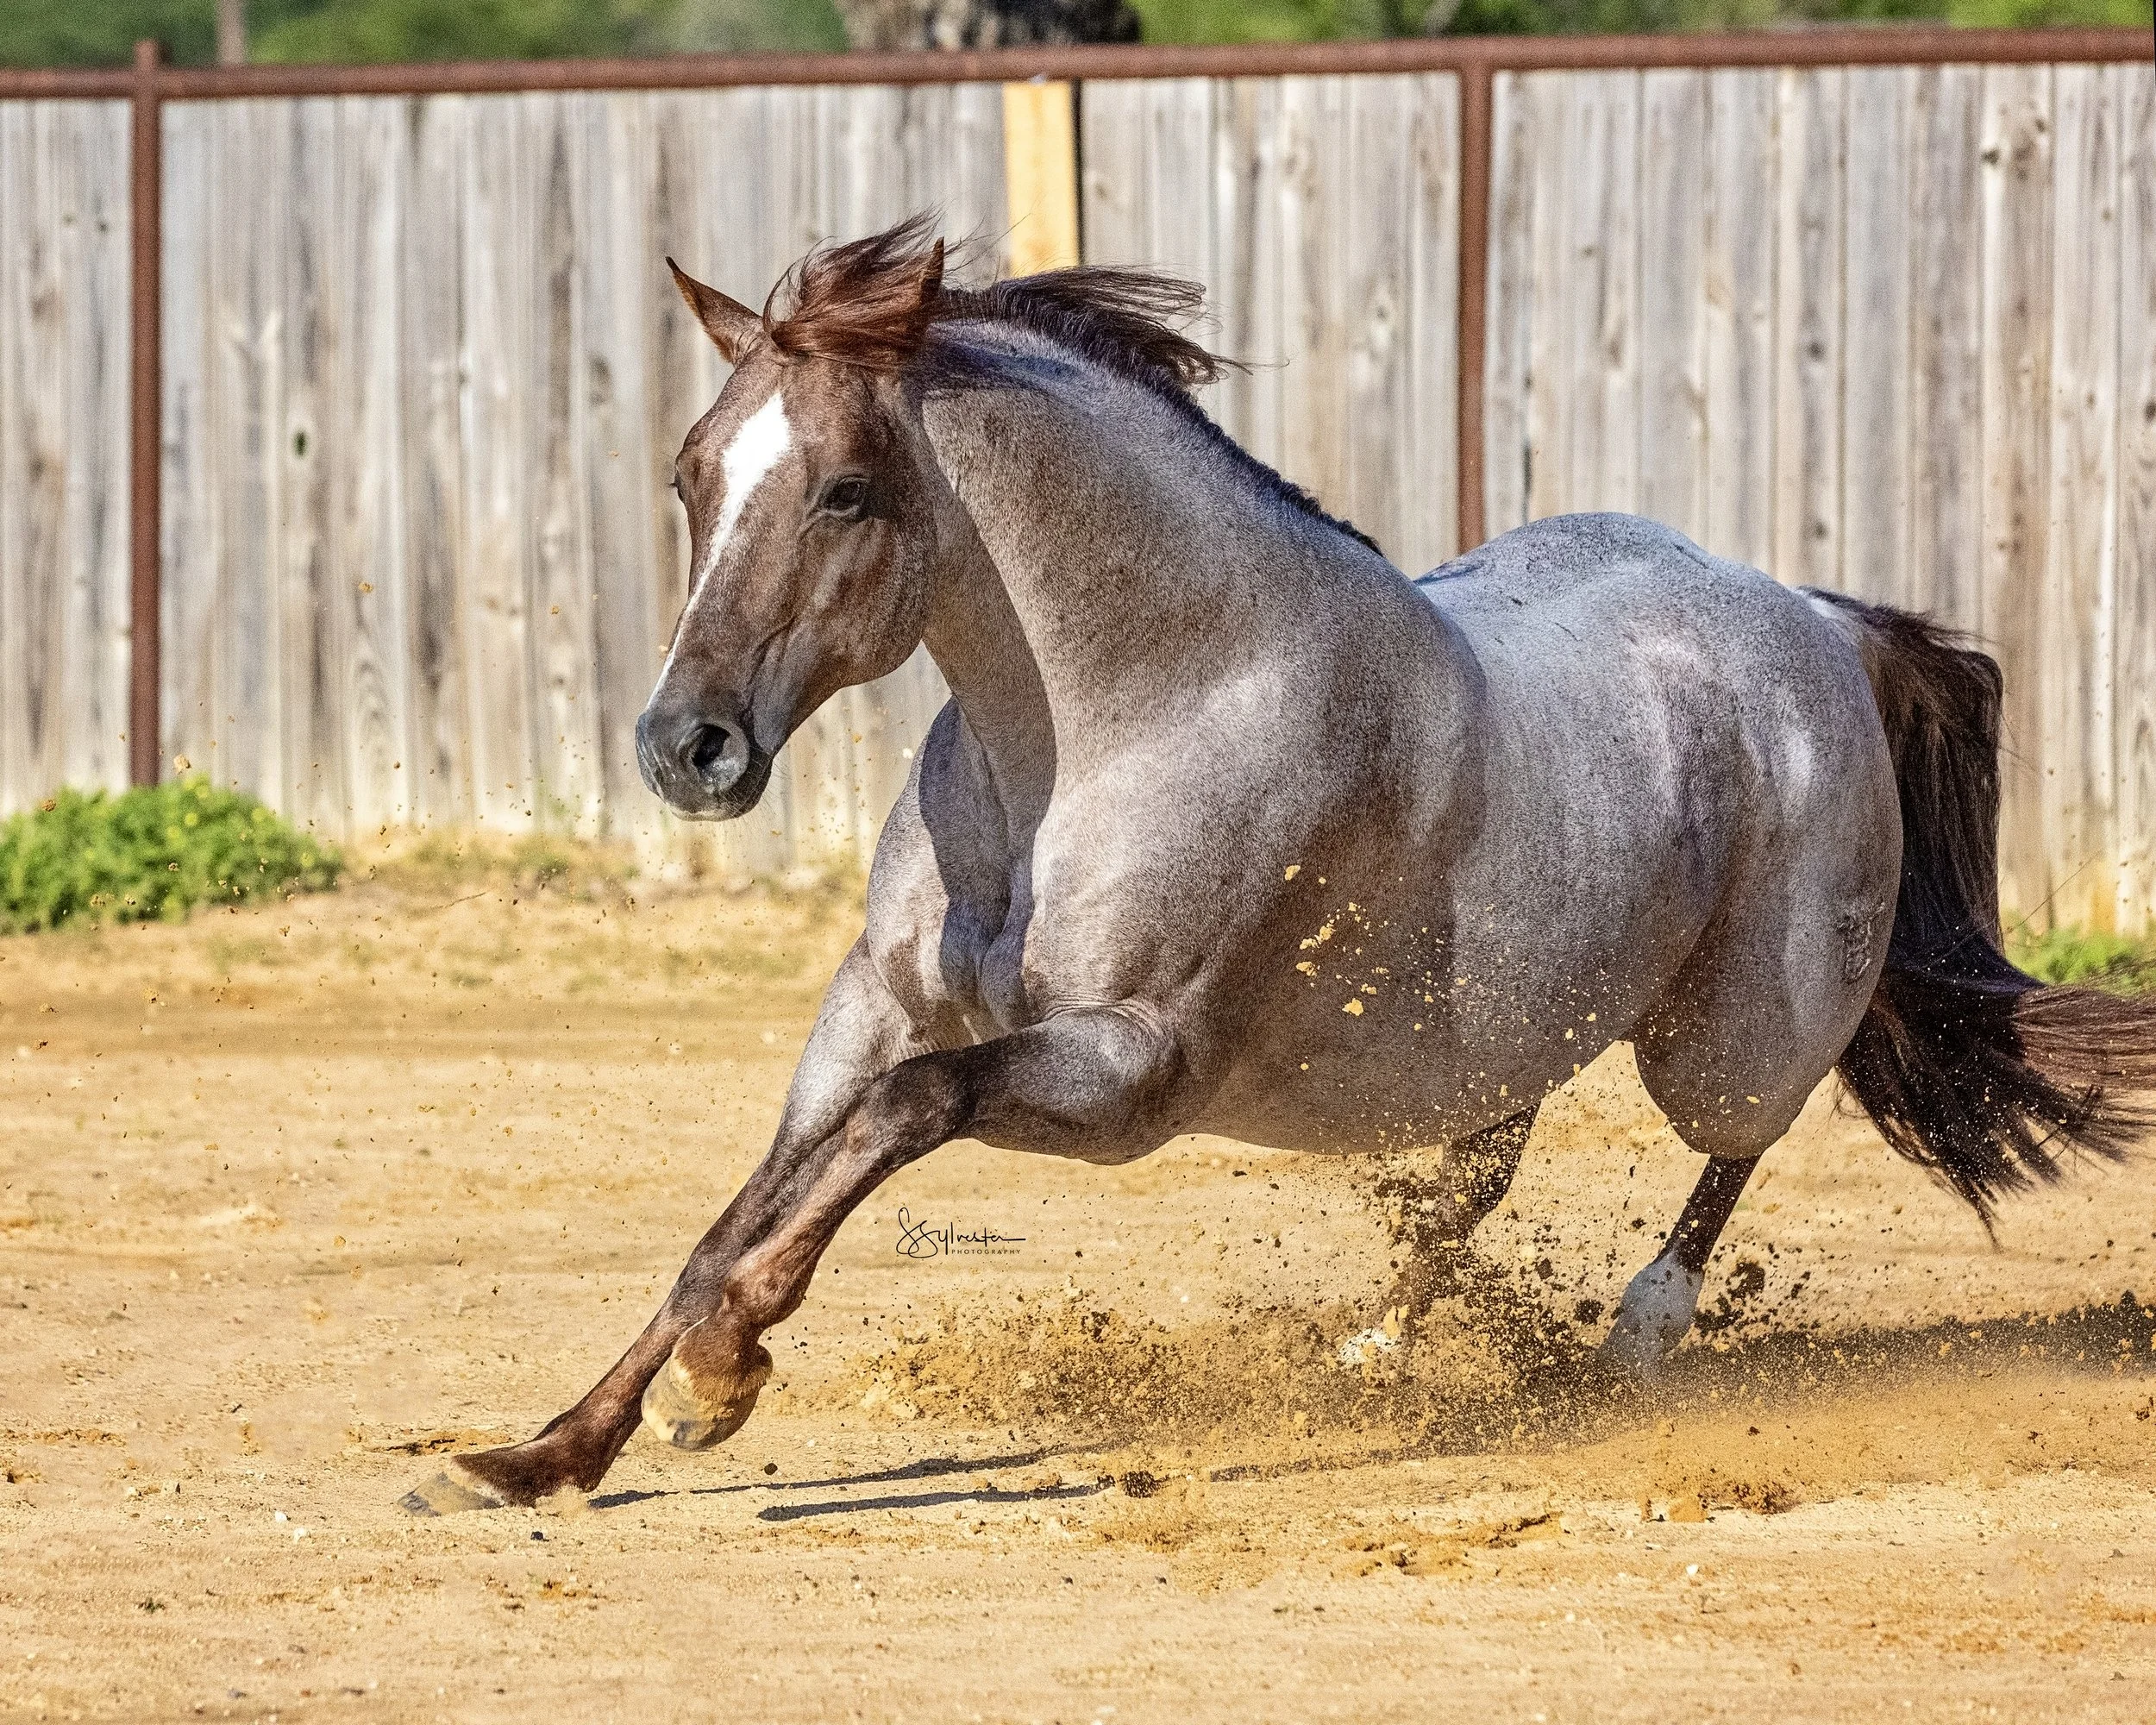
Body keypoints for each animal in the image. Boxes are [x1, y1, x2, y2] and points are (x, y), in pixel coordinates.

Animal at [416, 216, 2156, 1511]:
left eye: (846, 489)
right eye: (693, 473)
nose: (686, 747)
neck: (1125, 718)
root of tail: (1813, 621)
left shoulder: (1129, 1074)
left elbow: (898, 1127)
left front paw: (724, 1377)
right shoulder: (867, 1013)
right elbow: (749, 1203)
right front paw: (545, 1454)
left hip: (1726, 1033)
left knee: (1737, 1145)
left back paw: (1634, 1340)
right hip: (1508, 1029)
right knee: (1475, 1175)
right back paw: (1375, 1355)